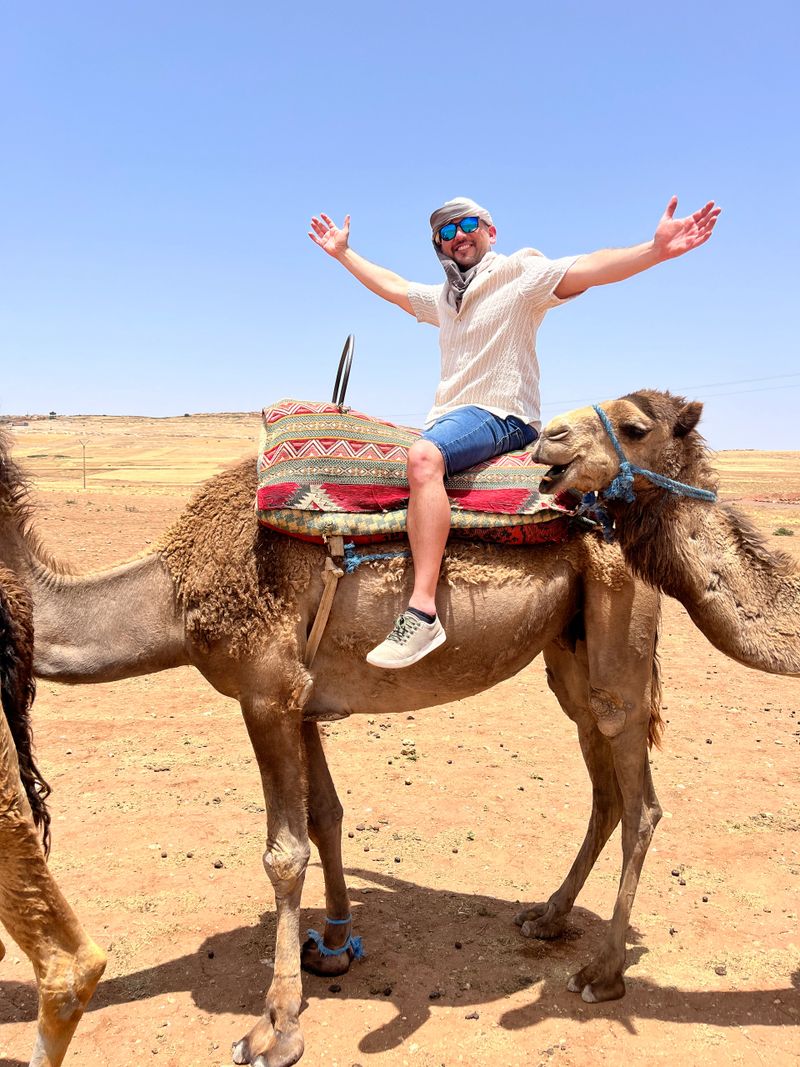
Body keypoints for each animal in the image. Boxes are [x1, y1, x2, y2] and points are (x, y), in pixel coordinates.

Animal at [0, 394, 794, 1067]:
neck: (172, 594)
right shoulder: (300, 699)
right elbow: (325, 816)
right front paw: (333, 946)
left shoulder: (265, 691)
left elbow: (283, 852)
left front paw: (275, 1026)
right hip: (568, 651)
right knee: (604, 783)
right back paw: (548, 916)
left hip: (621, 626)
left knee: (641, 798)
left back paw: (601, 972)